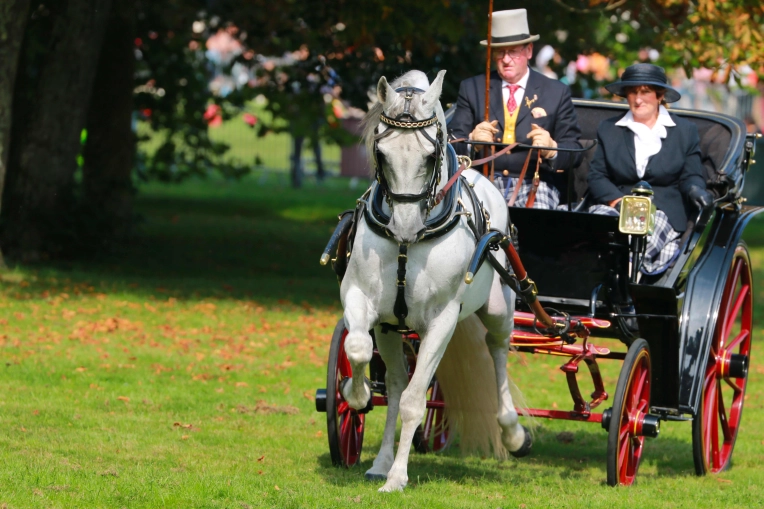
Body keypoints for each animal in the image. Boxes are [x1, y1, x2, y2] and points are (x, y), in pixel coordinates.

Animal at [342, 69, 532, 490]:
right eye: (381, 153)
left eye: (430, 157)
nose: (404, 226)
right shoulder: (361, 299)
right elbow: (358, 350)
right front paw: (355, 394)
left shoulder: (442, 320)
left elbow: (416, 402)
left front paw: (397, 478)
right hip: (390, 329)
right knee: (395, 387)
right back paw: (380, 461)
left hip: (499, 309)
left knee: (497, 350)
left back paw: (512, 433)